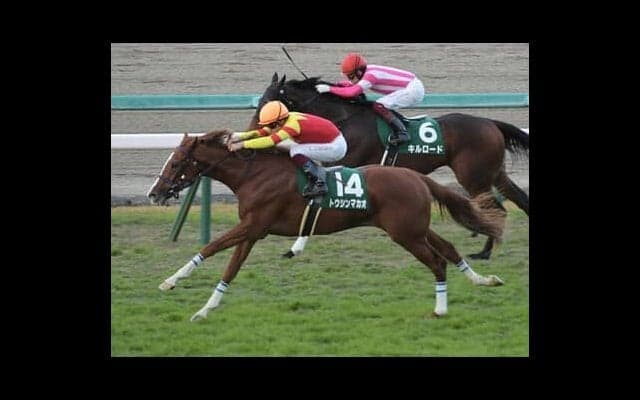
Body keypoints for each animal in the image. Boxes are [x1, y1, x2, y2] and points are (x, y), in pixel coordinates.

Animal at [147, 129, 506, 322]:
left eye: (176, 163)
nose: (154, 193)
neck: (254, 174)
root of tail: (415, 176)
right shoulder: (252, 232)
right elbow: (230, 269)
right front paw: (203, 309)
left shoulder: (254, 225)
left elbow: (210, 248)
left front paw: (171, 282)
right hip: (415, 228)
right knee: (449, 249)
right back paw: (484, 280)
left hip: (405, 234)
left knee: (437, 262)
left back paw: (440, 310)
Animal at [246, 73, 529, 260]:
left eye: (268, 101)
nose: (253, 127)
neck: (346, 119)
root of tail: (491, 122)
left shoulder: (348, 164)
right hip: (494, 173)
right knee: (516, 201)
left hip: (473, 177)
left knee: (496, 209)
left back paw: (484, 252)